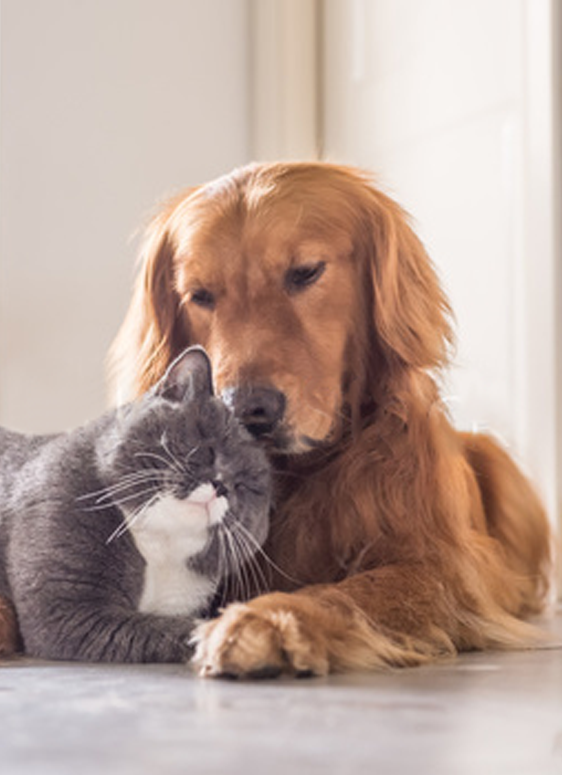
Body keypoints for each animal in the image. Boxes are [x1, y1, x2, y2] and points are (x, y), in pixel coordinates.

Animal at [0, 348, 270, 664]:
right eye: (208, 447)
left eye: (246, 486)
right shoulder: (70, 612)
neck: (158, 547)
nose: (223, 486)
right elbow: (168, 628)